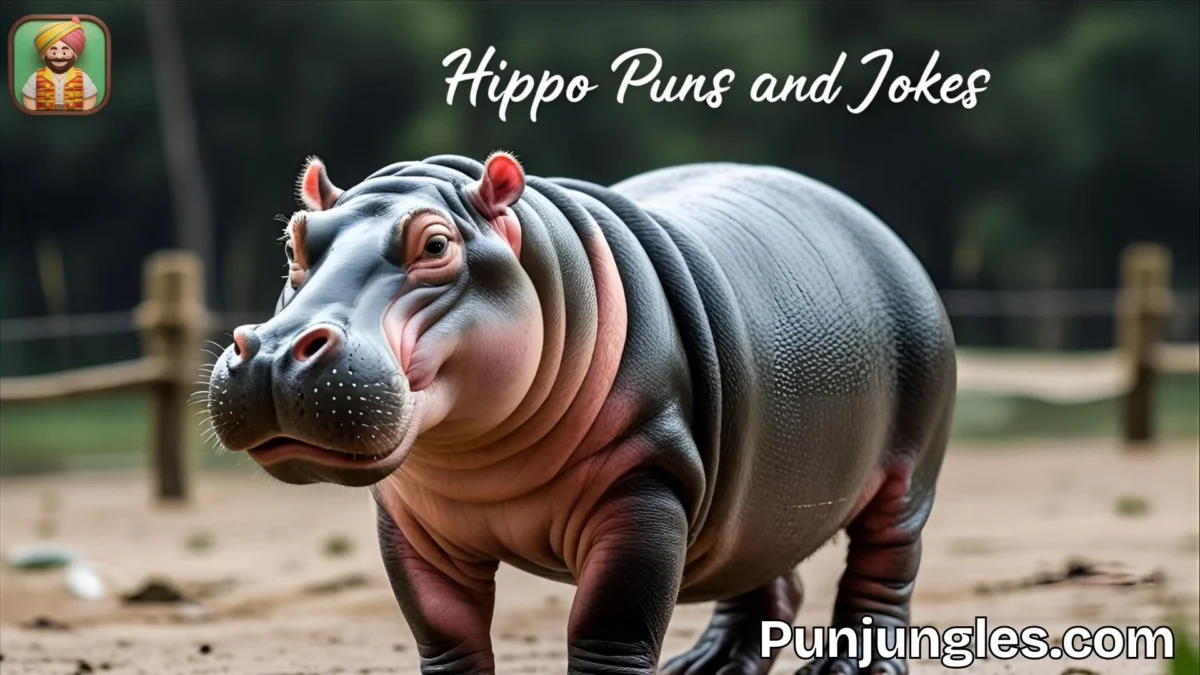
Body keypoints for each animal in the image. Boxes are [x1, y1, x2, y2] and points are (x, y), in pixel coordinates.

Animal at [207, 151, 956, 675]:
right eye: (295, 242)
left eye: (436, 245)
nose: (274, 353)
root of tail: (869, 220)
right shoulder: (412, 520)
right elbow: (445, 632)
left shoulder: (643, 487)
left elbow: (608, 628)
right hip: (765, 490)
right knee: (764, 572)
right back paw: (708, 665)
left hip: (907, 473)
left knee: (883, 565)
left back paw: (848, 667)